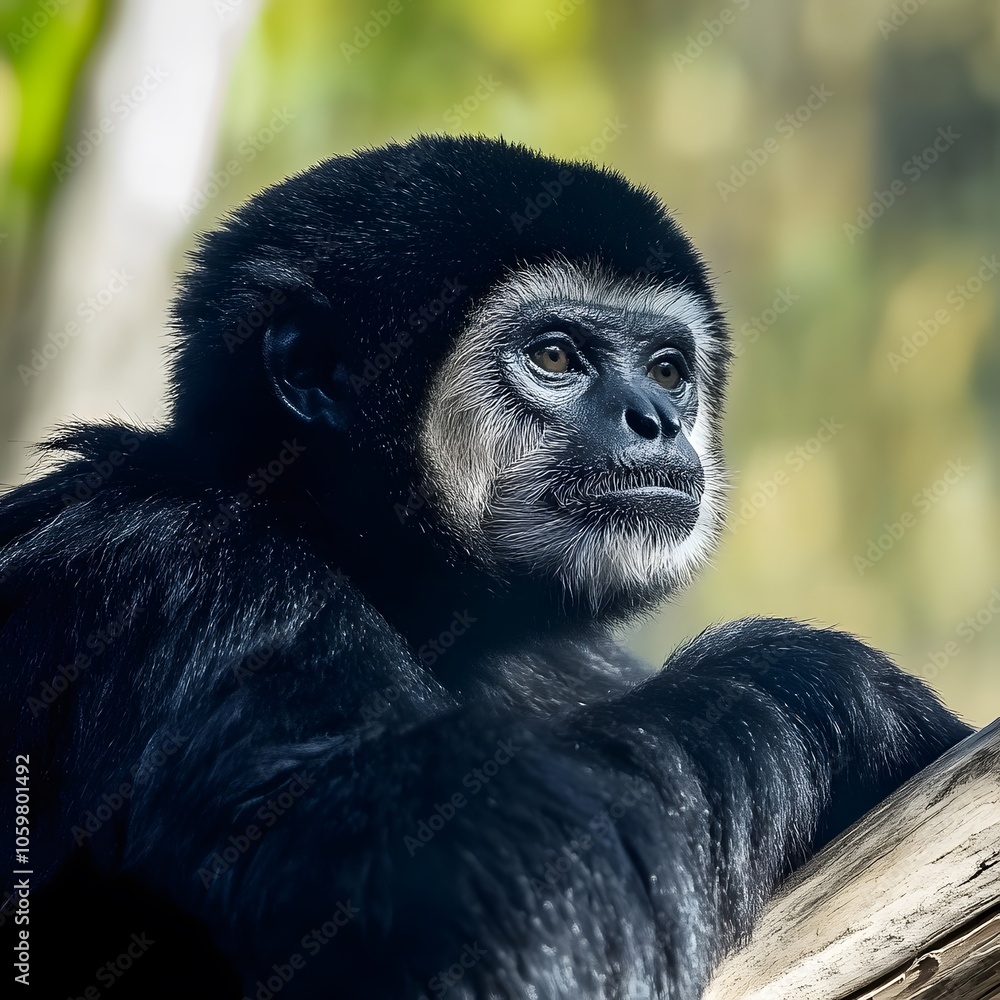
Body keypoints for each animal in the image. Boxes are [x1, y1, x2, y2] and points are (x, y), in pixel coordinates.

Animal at [0, 135, 970, 999]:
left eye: (668, 369)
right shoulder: (183, 569)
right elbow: (477, 881)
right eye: (555, 356)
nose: (657, 418)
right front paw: (837, 688)